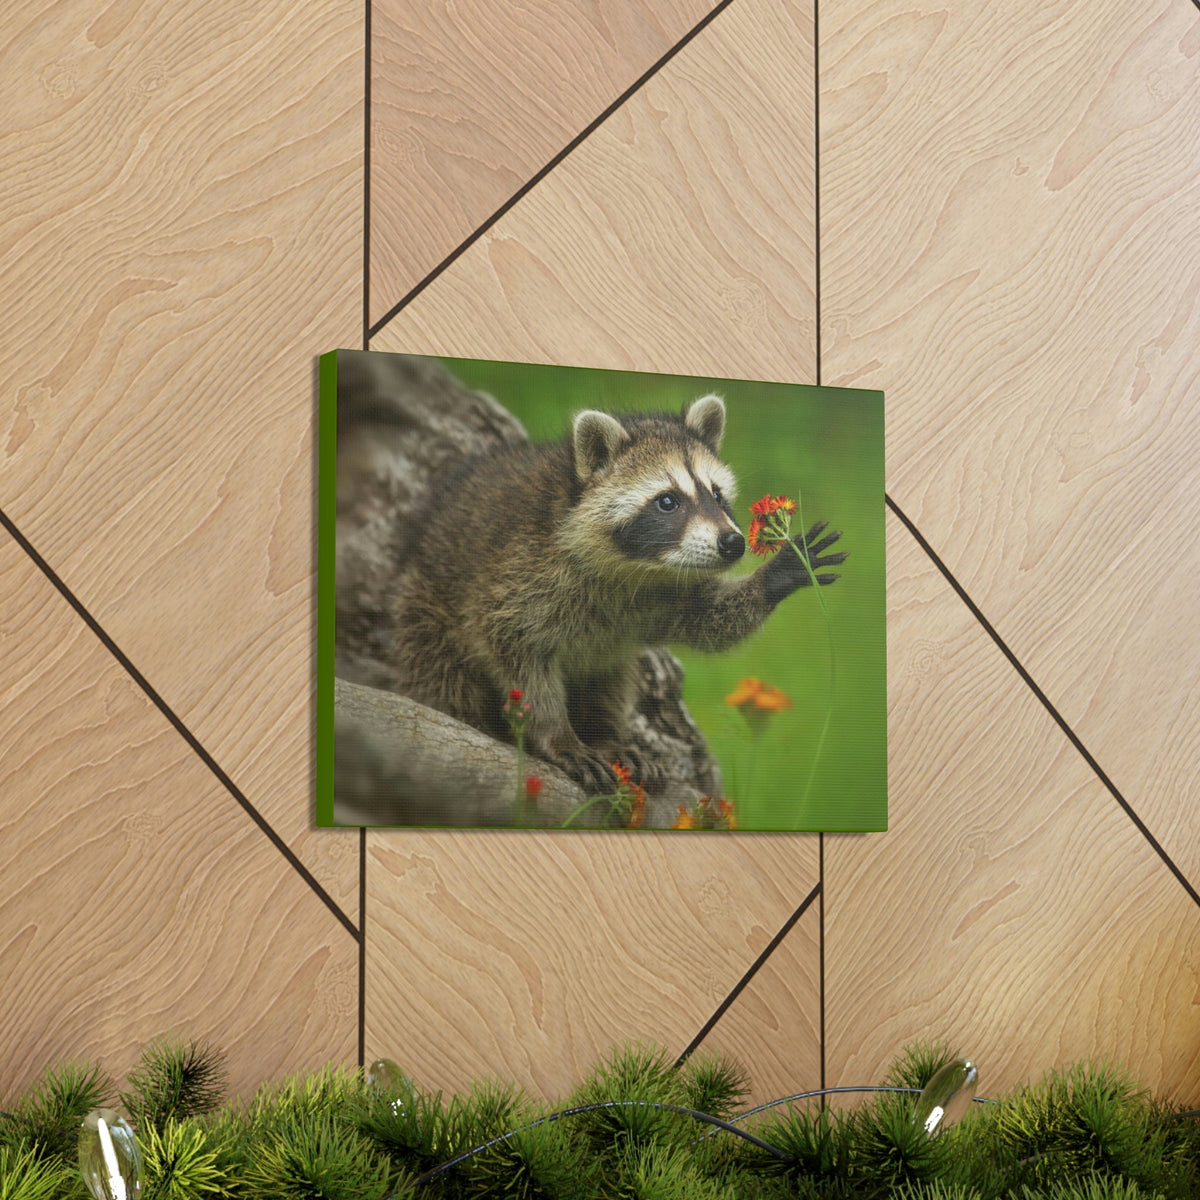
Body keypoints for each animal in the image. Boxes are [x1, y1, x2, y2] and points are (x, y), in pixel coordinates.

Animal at [388, 394, 845, 793]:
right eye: (667, 501)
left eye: (716, 495)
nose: (733, 544)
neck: (631, 570)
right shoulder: (516, 578)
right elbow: (519, 660)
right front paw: (557, 735)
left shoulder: (661, 595)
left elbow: (709, 619)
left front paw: (775, 576)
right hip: (424, 613)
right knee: (445, 679)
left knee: (609, 677)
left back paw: (606, 733)